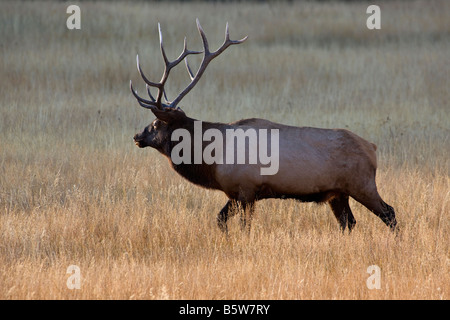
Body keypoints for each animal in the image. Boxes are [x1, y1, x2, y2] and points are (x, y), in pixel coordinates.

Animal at [130, 20, 398, 234]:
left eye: (156, 123)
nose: (137, 136)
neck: (212, 160)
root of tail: (372, 147)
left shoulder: (247, 189)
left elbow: (244, 227)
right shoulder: (235, 193)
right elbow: (220, 220)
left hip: (362, 184)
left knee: (390, 213)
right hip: (338, 193)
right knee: (349, 223)